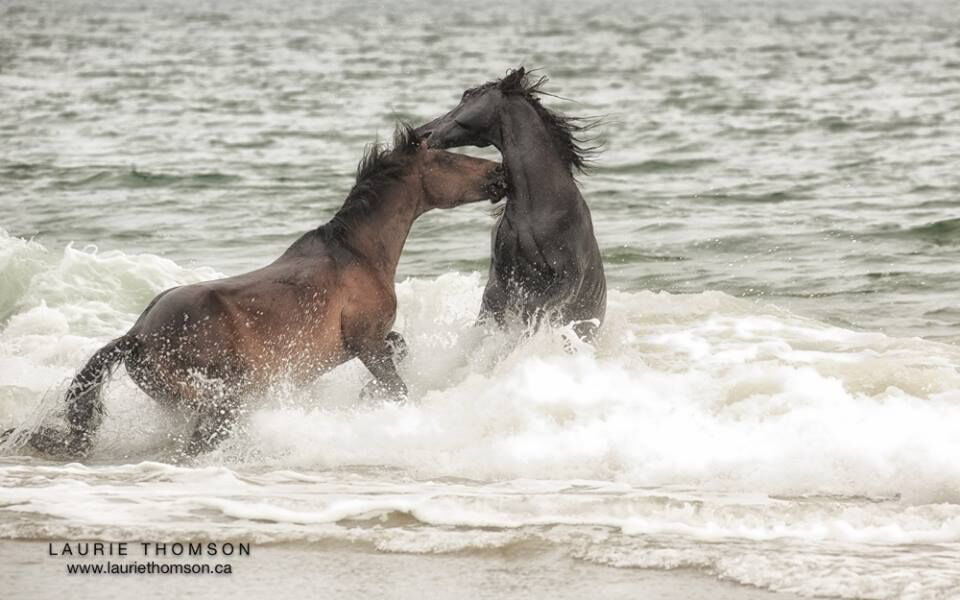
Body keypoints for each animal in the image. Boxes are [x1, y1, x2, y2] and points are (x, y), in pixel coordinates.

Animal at [414, 68, 608, 340]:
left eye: (467, 95)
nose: (422, 133)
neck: (538, 209)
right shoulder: (498, 282)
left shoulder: (564, 283)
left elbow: (534, 312)